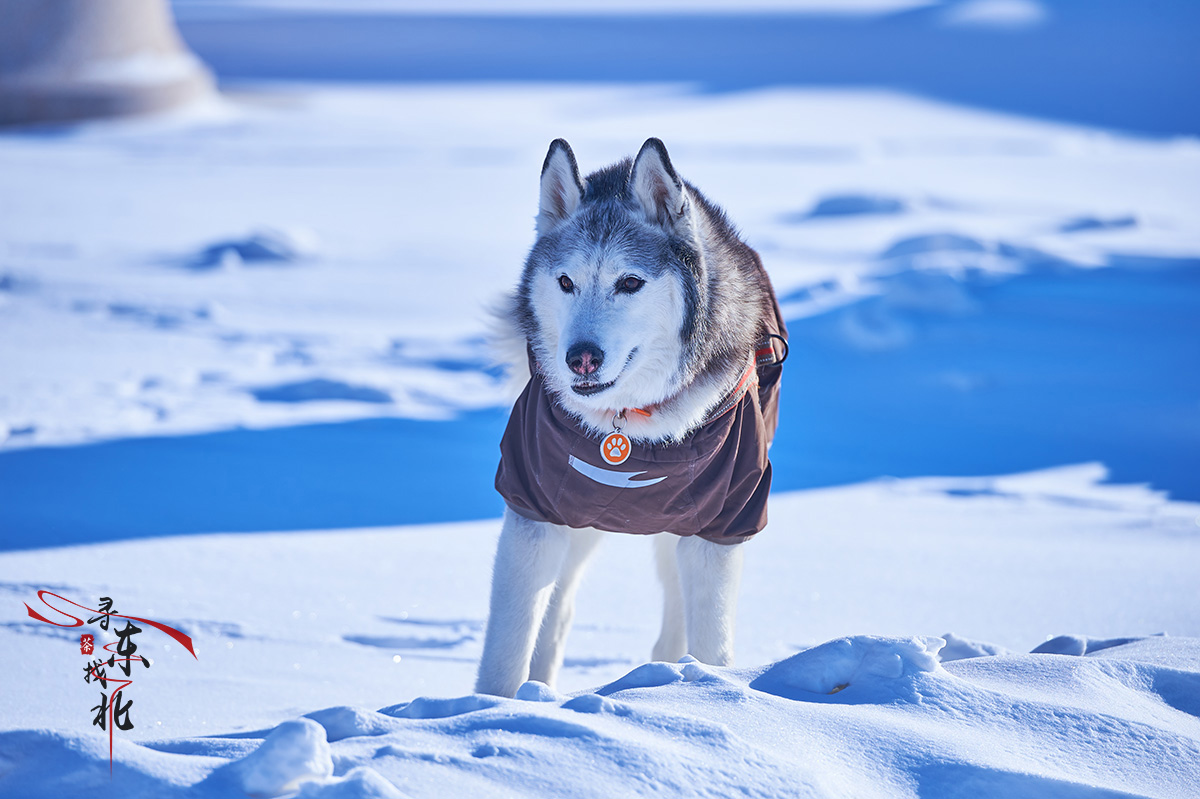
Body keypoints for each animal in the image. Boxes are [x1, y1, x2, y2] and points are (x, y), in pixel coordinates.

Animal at [477, 138, 787, 695]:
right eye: (565, 281)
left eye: (630, 282)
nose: (581, 358)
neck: (631, 429)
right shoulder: (534, 509)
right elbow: (506, 649)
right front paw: (491, 709)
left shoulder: (723, 523)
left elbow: (713, 641)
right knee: (558, 610)